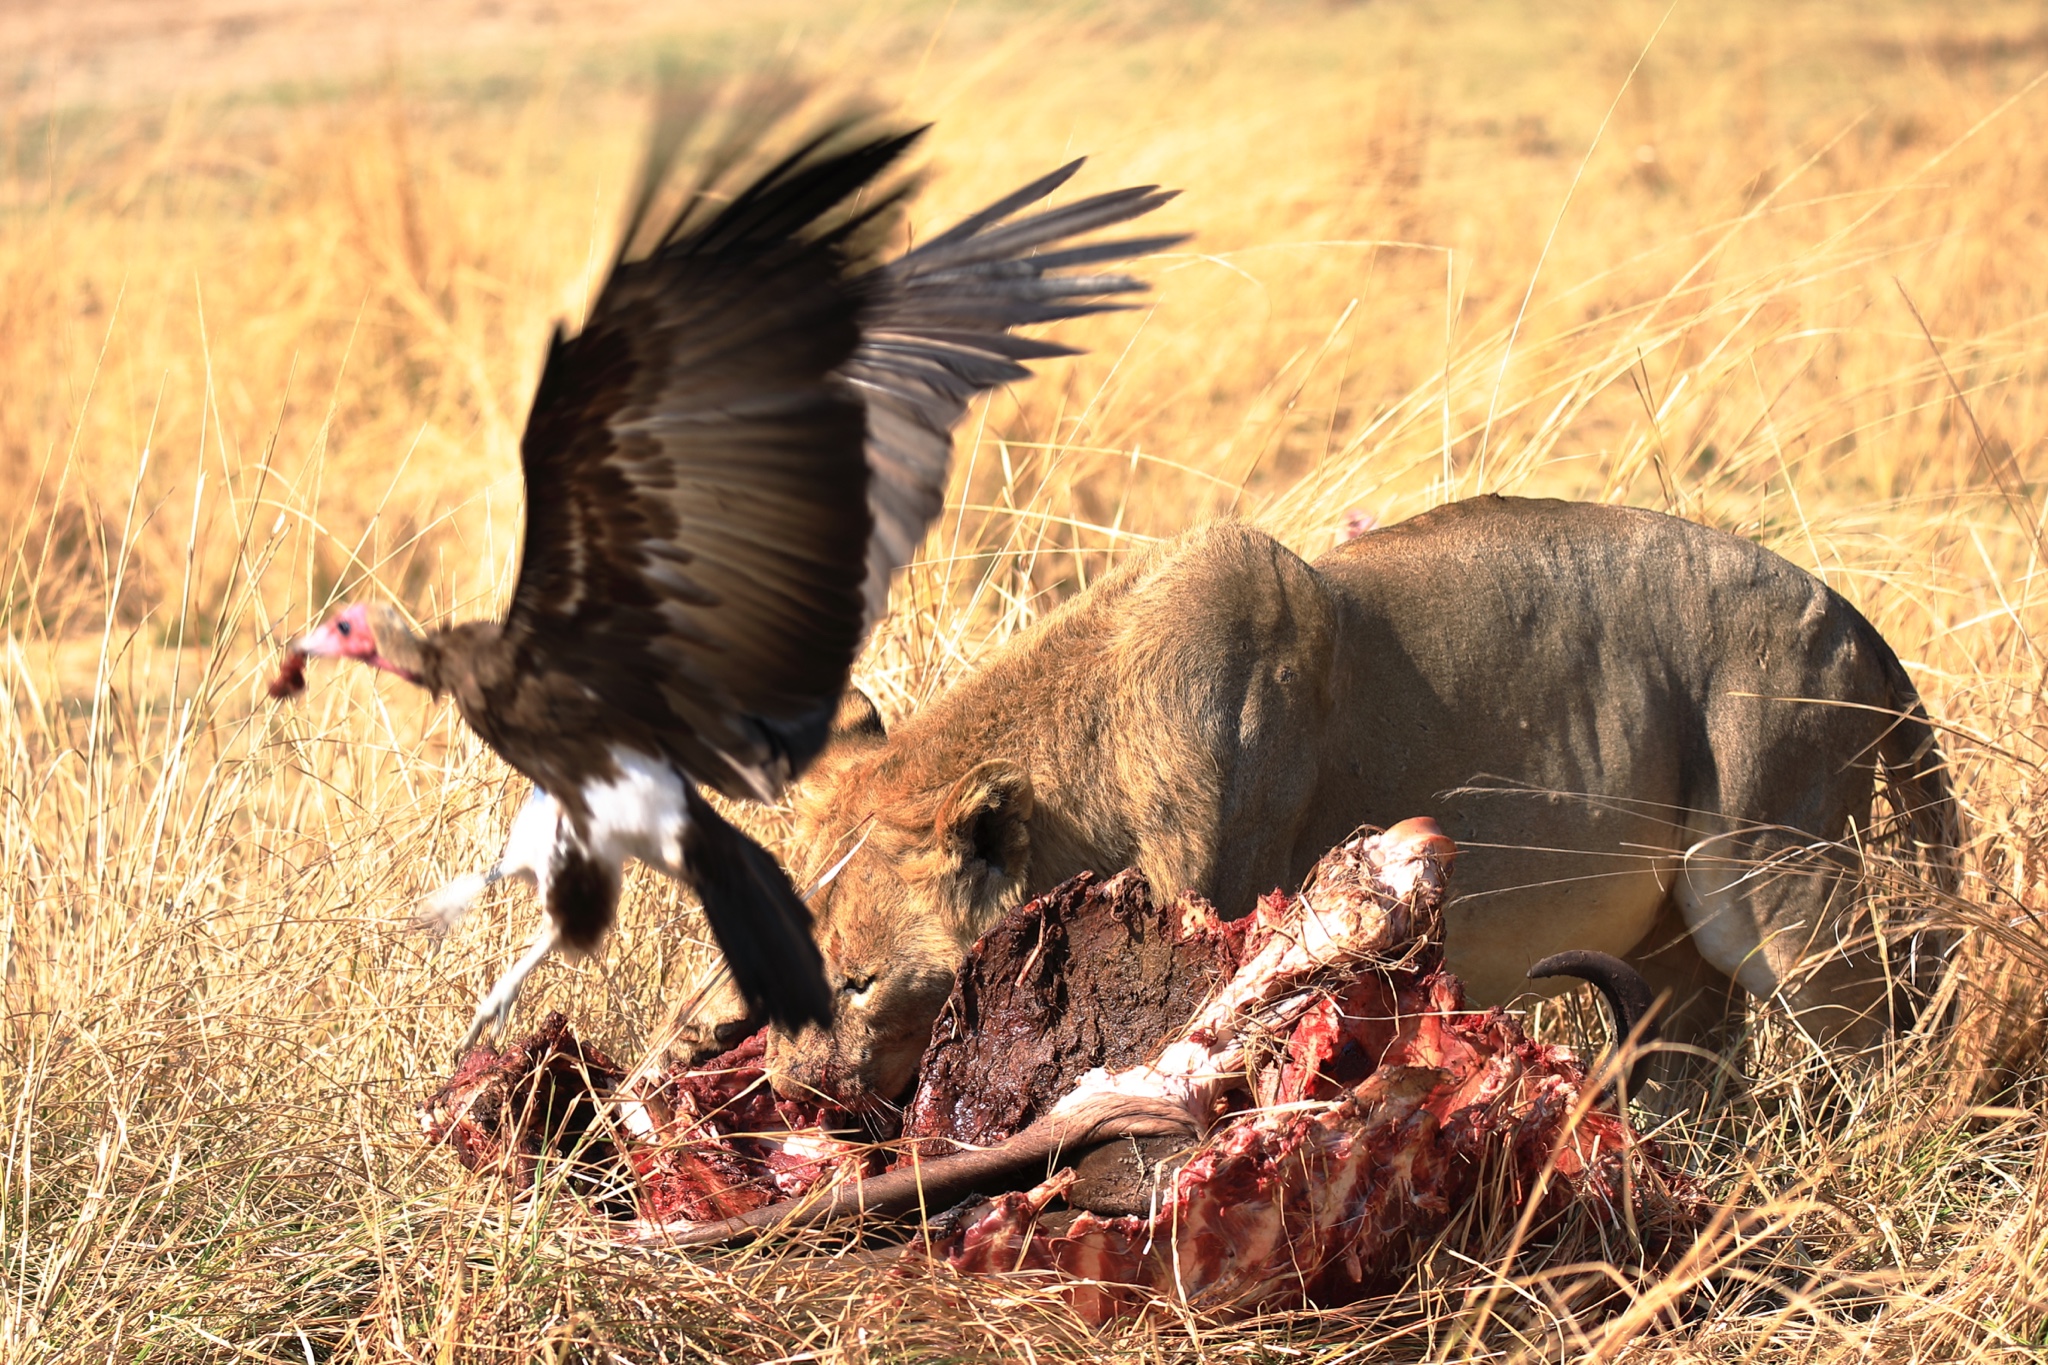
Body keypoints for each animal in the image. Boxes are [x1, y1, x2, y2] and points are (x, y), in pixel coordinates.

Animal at [761, 497, 1957, 1105]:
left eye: (861, 982)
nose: (786, 1089)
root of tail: (1850, 613)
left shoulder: (1223, 935)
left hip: (1770, 879)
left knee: (1885, 1026)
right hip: (1674, 937)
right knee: (1698, 1048)